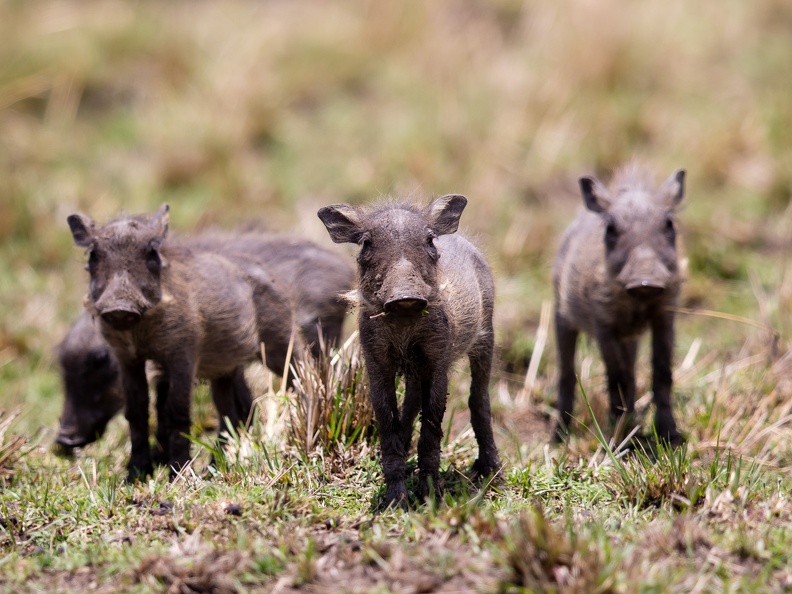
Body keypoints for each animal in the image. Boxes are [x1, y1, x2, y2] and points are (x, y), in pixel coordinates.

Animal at [67, 204, 298, 479]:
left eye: (152, 252)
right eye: (93, 254)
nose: (119, 307)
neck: (139, 329)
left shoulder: (183, 357)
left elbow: (176, 412)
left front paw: (178, 474)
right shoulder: (127, 359)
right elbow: (136, 411)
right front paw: (136, 475)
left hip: (282, 347)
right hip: (224, 369)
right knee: (231, 415)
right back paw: (213, 469)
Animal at [318, 195, 501, 508]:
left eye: (429, 240)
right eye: (366, 243)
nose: (405, 296)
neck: (404, 323)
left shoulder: (437, 364)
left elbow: (431, 429)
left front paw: (429, 497)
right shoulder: (377, 364)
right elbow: (388, 423)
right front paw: (395, 500)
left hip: (484, 337)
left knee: (479, 399)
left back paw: (492, 471)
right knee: (412, 400)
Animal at [553, 162, 685, 444]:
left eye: (669, 223)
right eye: (610, 228)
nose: (645, 281)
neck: (637, 302)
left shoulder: (664, 318)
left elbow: (661, 374)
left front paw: (670, 436)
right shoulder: (603, 326)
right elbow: (616, 378)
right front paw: (617, 436)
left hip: (630, 338)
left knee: (633, 374)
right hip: (562, 317)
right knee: (567, 373)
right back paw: (559, 436)